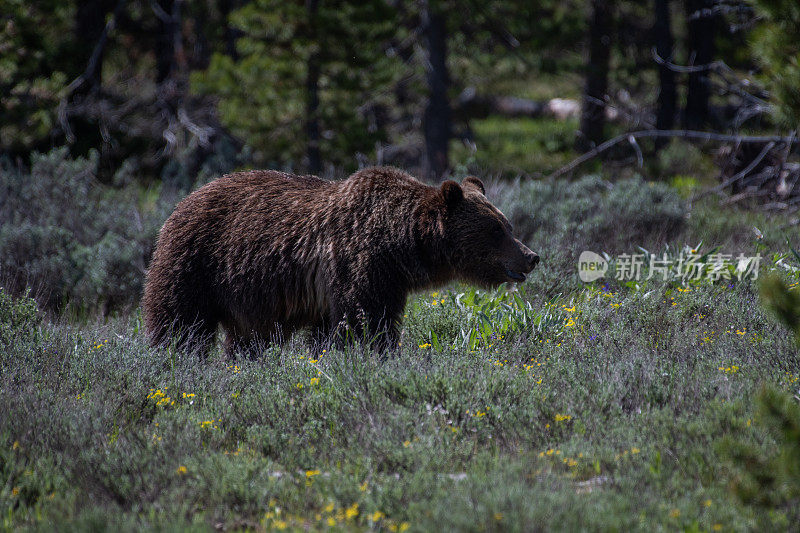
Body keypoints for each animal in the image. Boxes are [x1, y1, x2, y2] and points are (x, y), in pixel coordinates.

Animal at [144, 168, 540, 356]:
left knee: (246, 339)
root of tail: (182, 201)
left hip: (246, 296)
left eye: (507, 224)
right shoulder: (360, 264)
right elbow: (364, 322)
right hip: (196, 262)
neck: (402, 244)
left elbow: (335, 329)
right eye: (495, 229)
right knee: (179, 322)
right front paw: (373, 354)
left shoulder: (377, 281)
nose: (531, 256)